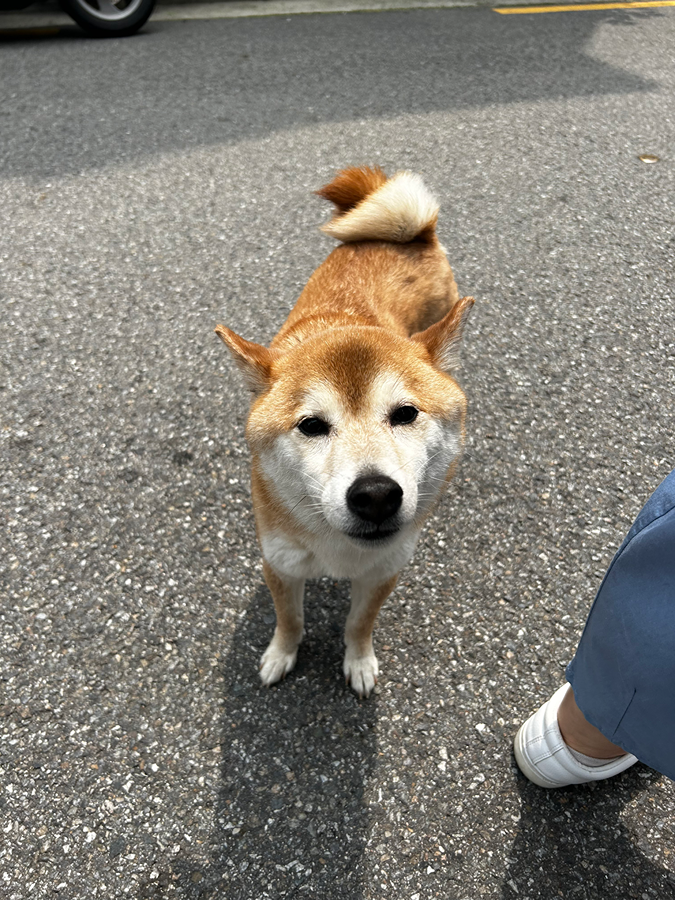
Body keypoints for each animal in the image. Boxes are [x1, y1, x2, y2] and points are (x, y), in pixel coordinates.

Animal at [218, 171, 476, 704]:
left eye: (405, 414)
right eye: (312, 425)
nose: (376, 495)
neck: (339, 551)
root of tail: (412, 234)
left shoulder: (383, 571)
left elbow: (359, 625)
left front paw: (358, 662)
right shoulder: (280, 564)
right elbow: (290, 621)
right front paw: (280, 655)